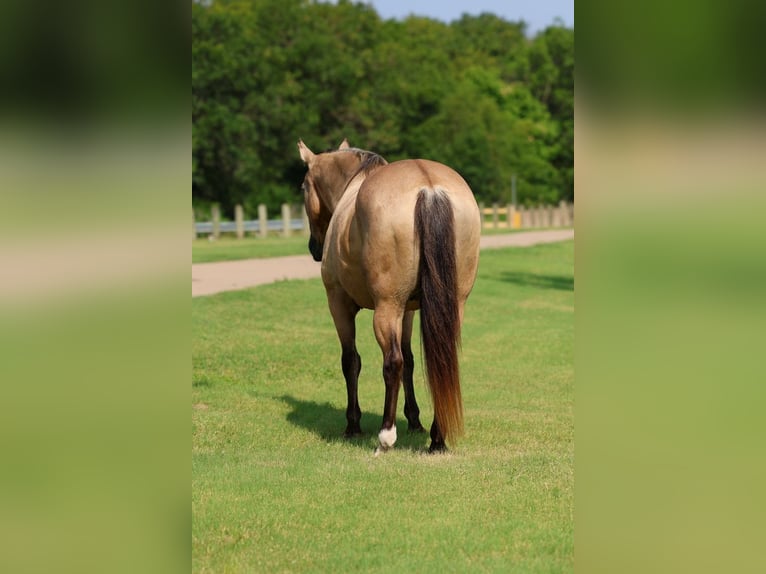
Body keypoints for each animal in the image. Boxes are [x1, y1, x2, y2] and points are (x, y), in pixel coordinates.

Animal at [297, 139, 481, 453]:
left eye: (304, 187)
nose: (314, 248)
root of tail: (429, 188)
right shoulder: (408, 310)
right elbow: (410, 360)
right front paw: (414, 420)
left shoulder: (339, 304)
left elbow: (351, 361)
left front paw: (353, 424)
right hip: (450, 306)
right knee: (440, 360)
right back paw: (437, 438)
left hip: (386, 308)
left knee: (391, 362)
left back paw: (385, 435)